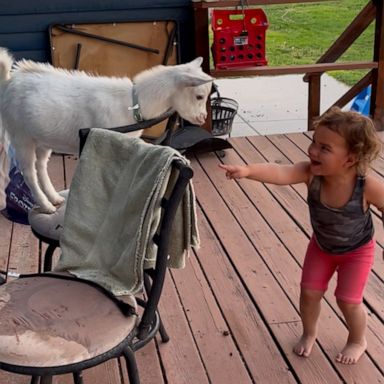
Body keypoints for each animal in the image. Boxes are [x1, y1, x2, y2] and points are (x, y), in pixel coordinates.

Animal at [0, 48, 213, 213]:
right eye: (199, 96)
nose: (202, 118)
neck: (132, 102)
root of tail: (8, 82)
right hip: (21, 136)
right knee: (28, 171)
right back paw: (46, 206)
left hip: (42, 139)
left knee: (41, 165)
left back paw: (55, 198)